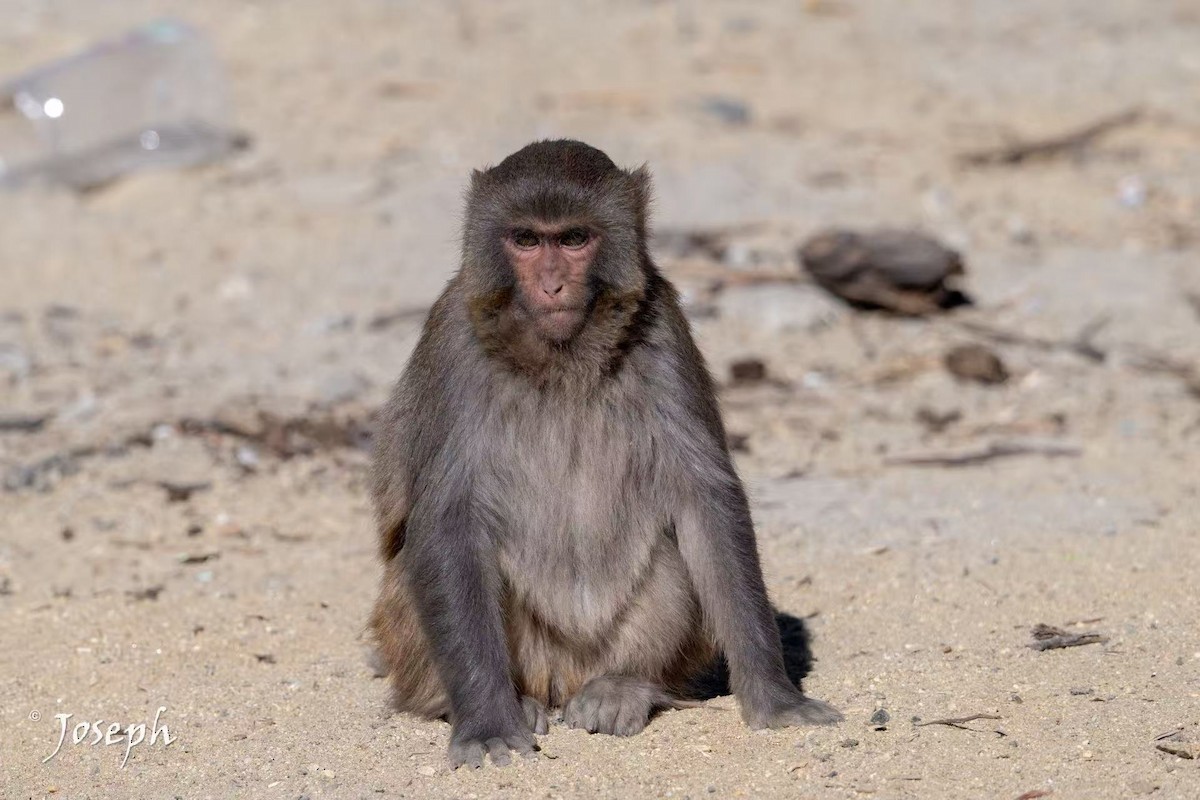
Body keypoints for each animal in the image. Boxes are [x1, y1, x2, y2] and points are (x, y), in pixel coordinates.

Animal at [369, 139, 842, 769]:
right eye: (526, 240)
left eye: (573, 239)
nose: (550, 286)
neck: (561, 356)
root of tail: (561, 681)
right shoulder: (454, 345)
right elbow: (446, 522)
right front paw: (488, 721)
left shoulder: (664, 326)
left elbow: (705, 502)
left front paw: (774, 697)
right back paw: (488, 702)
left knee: (670, 552)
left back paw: (629, 686)